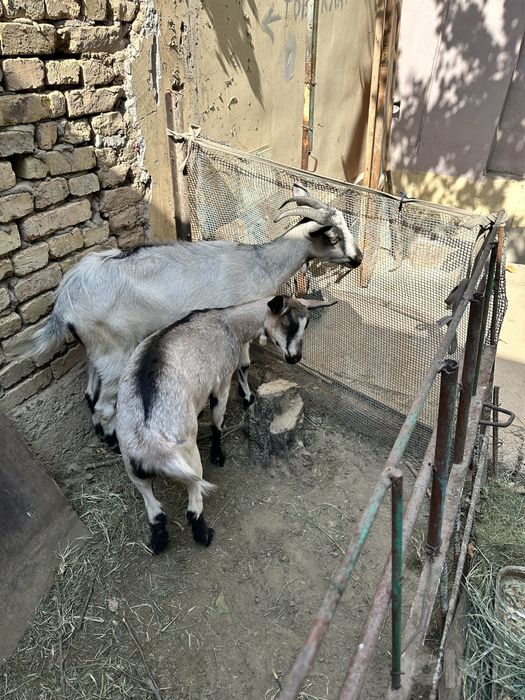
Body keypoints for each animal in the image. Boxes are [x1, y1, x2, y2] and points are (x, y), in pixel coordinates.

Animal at [12, 185, 362, 449]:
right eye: (332, 237)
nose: (358, 259)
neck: (260, 264)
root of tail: (64, 300)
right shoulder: (241, 322)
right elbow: (244, 364)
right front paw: (248, 398)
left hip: (96, 350)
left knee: (89, 394)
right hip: (114, 353)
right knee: (102, 403)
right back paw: (114, 441)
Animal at [115, 295, 336, 554]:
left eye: (306, 324)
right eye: (286, 323)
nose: (295, 358)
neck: (228, 323)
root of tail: (148, 439)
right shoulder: (220, 382)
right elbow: (219, 420)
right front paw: (219, 454)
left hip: (132, 465)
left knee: (155, 510)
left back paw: (159, 541)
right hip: (188, 457)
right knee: (193, 504)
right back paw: (205, 535)